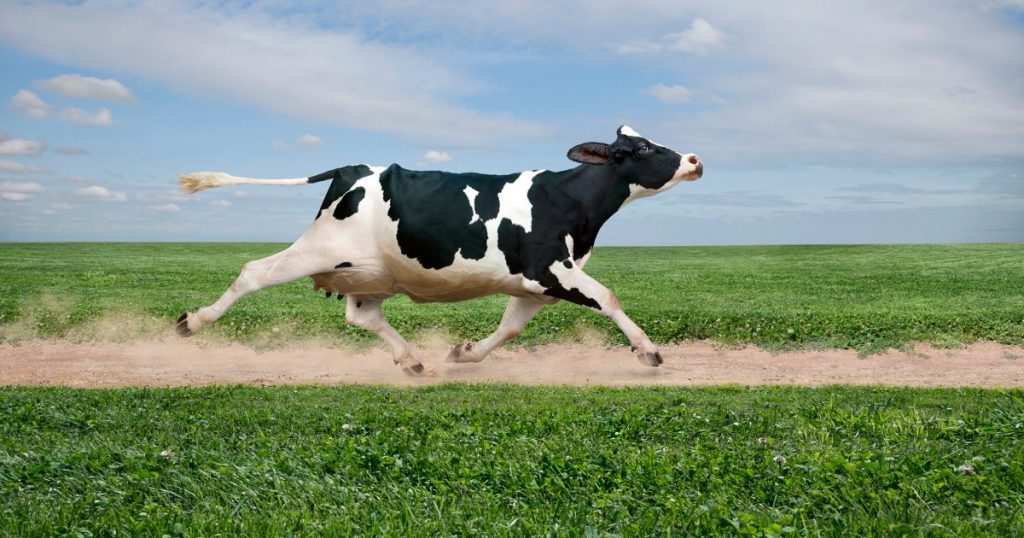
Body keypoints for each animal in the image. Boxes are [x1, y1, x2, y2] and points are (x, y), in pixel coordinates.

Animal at [175, 126, 703, 374]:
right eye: (642, 149)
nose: (695, 159)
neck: (568, 199)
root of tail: (351, 168)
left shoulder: (532, 284)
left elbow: (510, 329)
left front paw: (464, 353)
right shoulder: (553, 269)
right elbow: (609, 298)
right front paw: (648, 352)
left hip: (370, 271)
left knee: (363, 315)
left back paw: (411, 360)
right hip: (319, 249)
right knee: (254, 271)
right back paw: (191, 322)